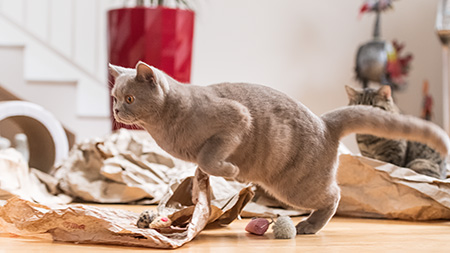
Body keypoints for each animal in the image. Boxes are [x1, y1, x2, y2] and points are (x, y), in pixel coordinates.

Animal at [109, 61, 450, 235]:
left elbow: (209, 156)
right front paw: (198, 183)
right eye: (115, 97)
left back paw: (309, 225)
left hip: (296, 187)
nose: (115, 111)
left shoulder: (236, 117)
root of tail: (325, 122)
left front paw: (231, 171)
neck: (164, 127)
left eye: (130, 99)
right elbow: (201, 165)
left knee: (335, 195)